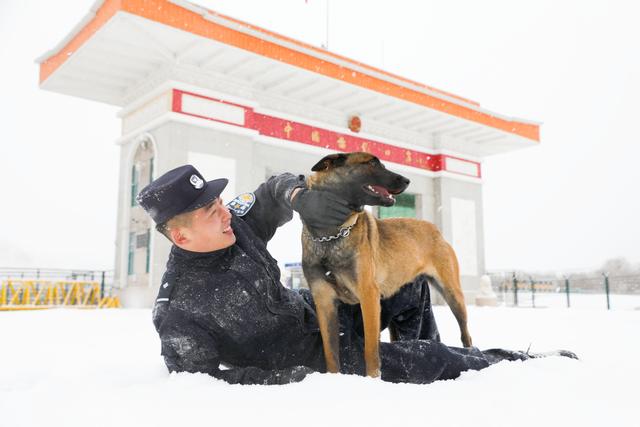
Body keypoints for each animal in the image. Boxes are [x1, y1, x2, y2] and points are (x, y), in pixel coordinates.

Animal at [298, 153, 470, 378]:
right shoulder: (324, 302)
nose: (407, 181)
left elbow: (370, 349)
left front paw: (373, 378)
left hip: (452, 294)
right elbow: (331, 354)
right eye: (372, 163)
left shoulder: (368, 296)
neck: (330, 235)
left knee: (465, 333)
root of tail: (434, 229)